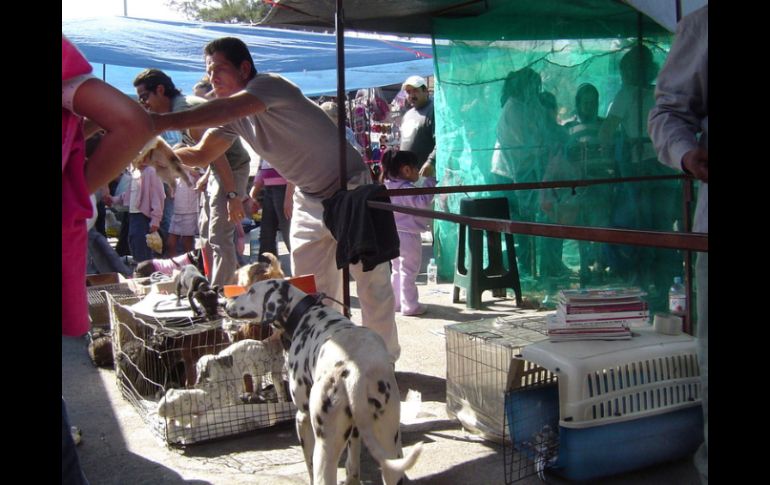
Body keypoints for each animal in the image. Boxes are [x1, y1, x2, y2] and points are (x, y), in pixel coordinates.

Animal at [225, 278, 424, 484]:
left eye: (251, 291)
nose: (224, 302)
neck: (305, 314)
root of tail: (355, 373)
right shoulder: (355, 430)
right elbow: (353, 465)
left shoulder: (302, 418)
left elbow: (309, 466)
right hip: (390, 445)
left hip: (325, 447)